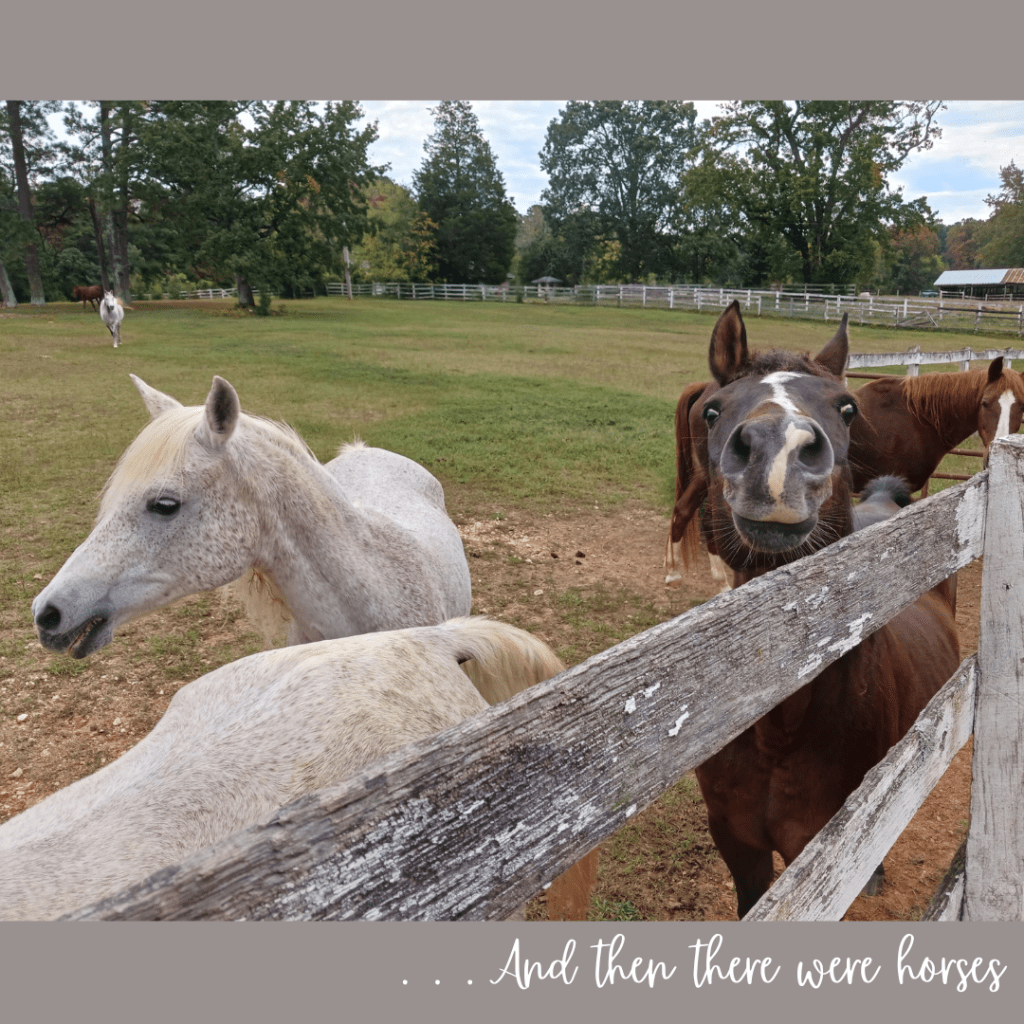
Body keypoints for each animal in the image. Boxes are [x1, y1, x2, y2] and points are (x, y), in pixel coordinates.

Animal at [689, 301, 960, 918]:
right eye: (712, 411)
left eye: (847, 407)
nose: (777, 453)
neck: (780, 733)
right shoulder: (737, 842)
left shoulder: (825, 851)